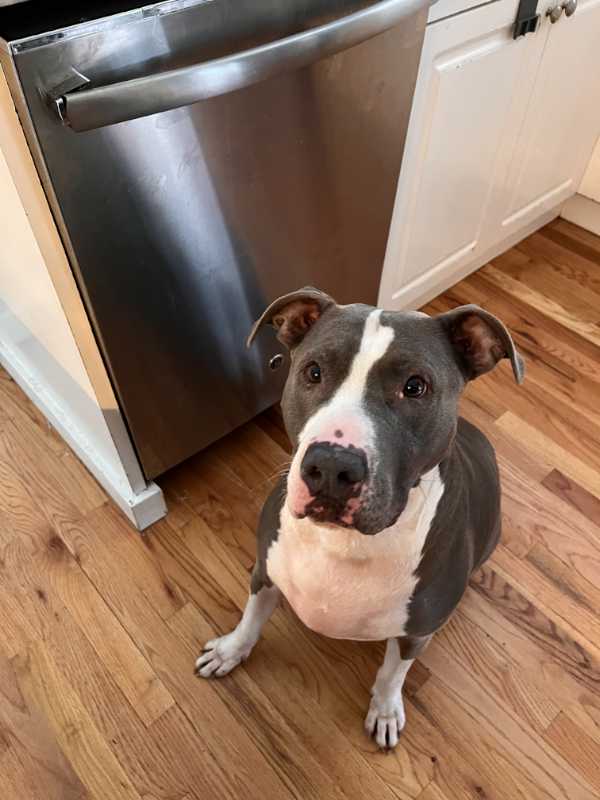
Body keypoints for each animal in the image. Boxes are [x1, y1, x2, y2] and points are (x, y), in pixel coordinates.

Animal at [195, 290, 524, 752]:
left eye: (415, 387)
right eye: (313, 371)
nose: (332, 466)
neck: (346, 542)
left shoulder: (415, 633)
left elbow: (392, 674)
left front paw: (384, 709)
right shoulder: (265, 571)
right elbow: (251, 618)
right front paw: (230, 650)